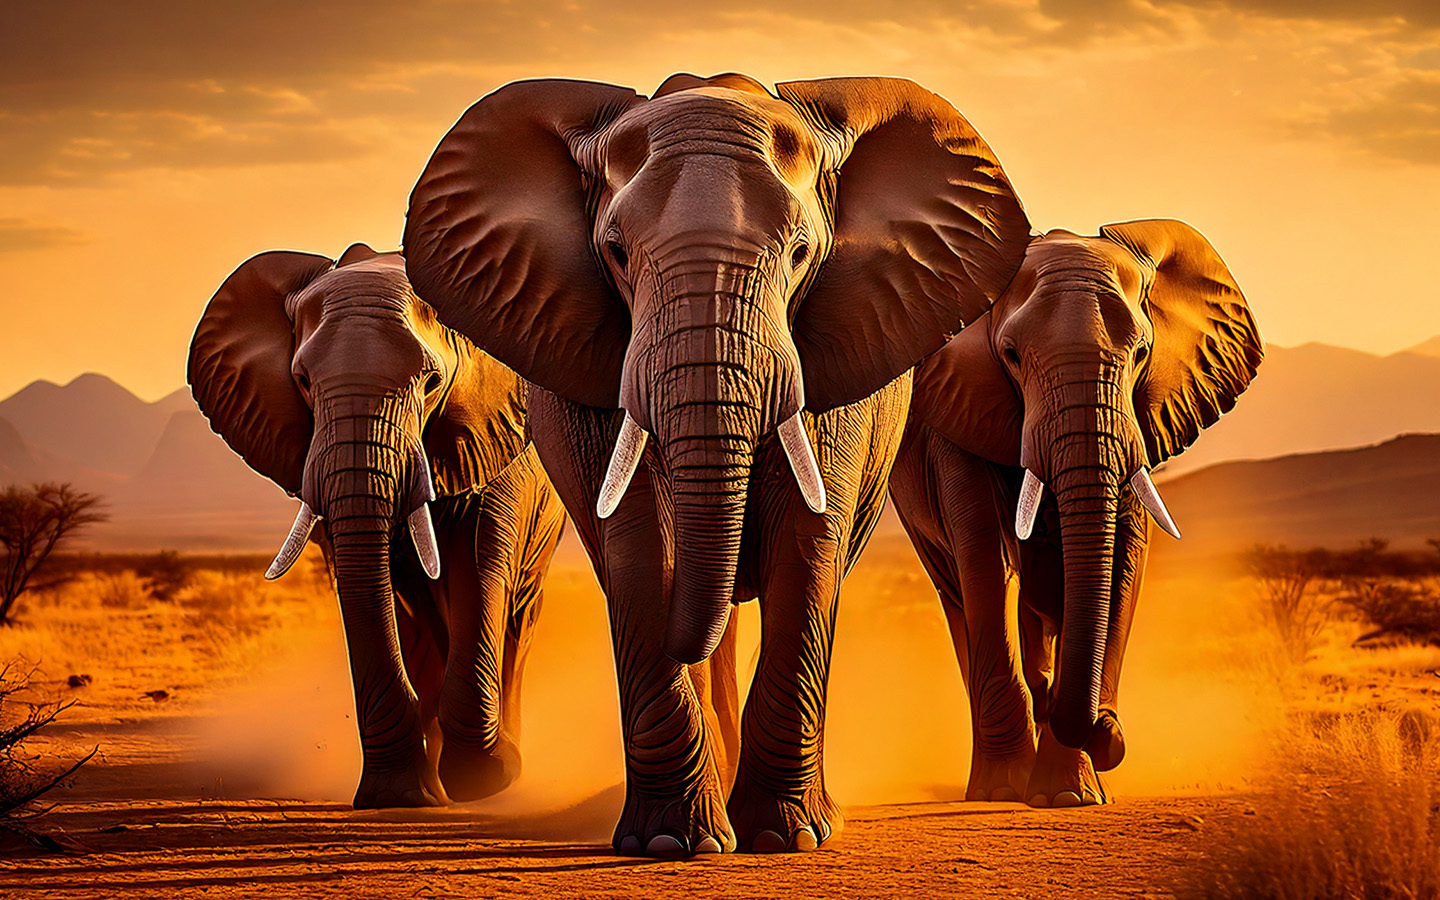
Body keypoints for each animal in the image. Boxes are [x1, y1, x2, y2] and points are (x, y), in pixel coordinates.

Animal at [188, 243, 566, 808]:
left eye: (432, 382)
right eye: (302, 381)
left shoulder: (492, 437)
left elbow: (477, 559)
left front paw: (484, 781)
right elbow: (370, 582)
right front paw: (402, 793)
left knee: (517, 614)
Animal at [403, 72, 1031, 855]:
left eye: (800, 253)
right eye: (615, 252)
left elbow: (806, 540)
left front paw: (786, 837)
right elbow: (642, 544)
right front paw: (674, 843)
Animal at [889, 219, 1263, 807]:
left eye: (1142, 353)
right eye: (1011, 355)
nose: (1111, 734)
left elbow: (1123, 562)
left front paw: (1071, 795)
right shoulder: (960, 412)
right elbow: (986, 558)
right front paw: (1007, 789)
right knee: (961, 597)